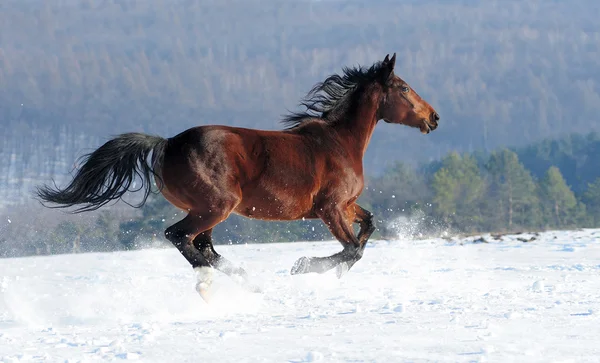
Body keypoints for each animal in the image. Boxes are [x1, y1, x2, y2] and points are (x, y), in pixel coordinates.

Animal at [38, 53, 440, 302]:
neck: (339, 142)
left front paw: (329, 272)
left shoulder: (346, 205)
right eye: (404, 87)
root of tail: (168, 144)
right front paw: (303, 267)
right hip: (216, 206)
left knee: (203, 246)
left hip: (207, 210)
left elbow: (368, 227)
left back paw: (235, 283)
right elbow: (352, 248)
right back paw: (224, 283)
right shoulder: (330, 208)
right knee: (180, 238)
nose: (434, 117)